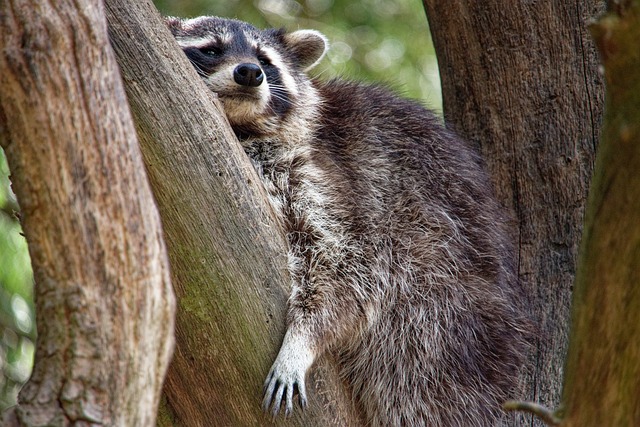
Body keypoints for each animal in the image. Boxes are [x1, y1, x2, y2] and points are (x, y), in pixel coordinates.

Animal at [168, 15, 532, 426]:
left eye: (265, 60)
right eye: (212, 49)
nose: (249, 72)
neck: (241, 126)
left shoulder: (330, 177)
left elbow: (349, 269)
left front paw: (302, 340)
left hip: (447, 316)